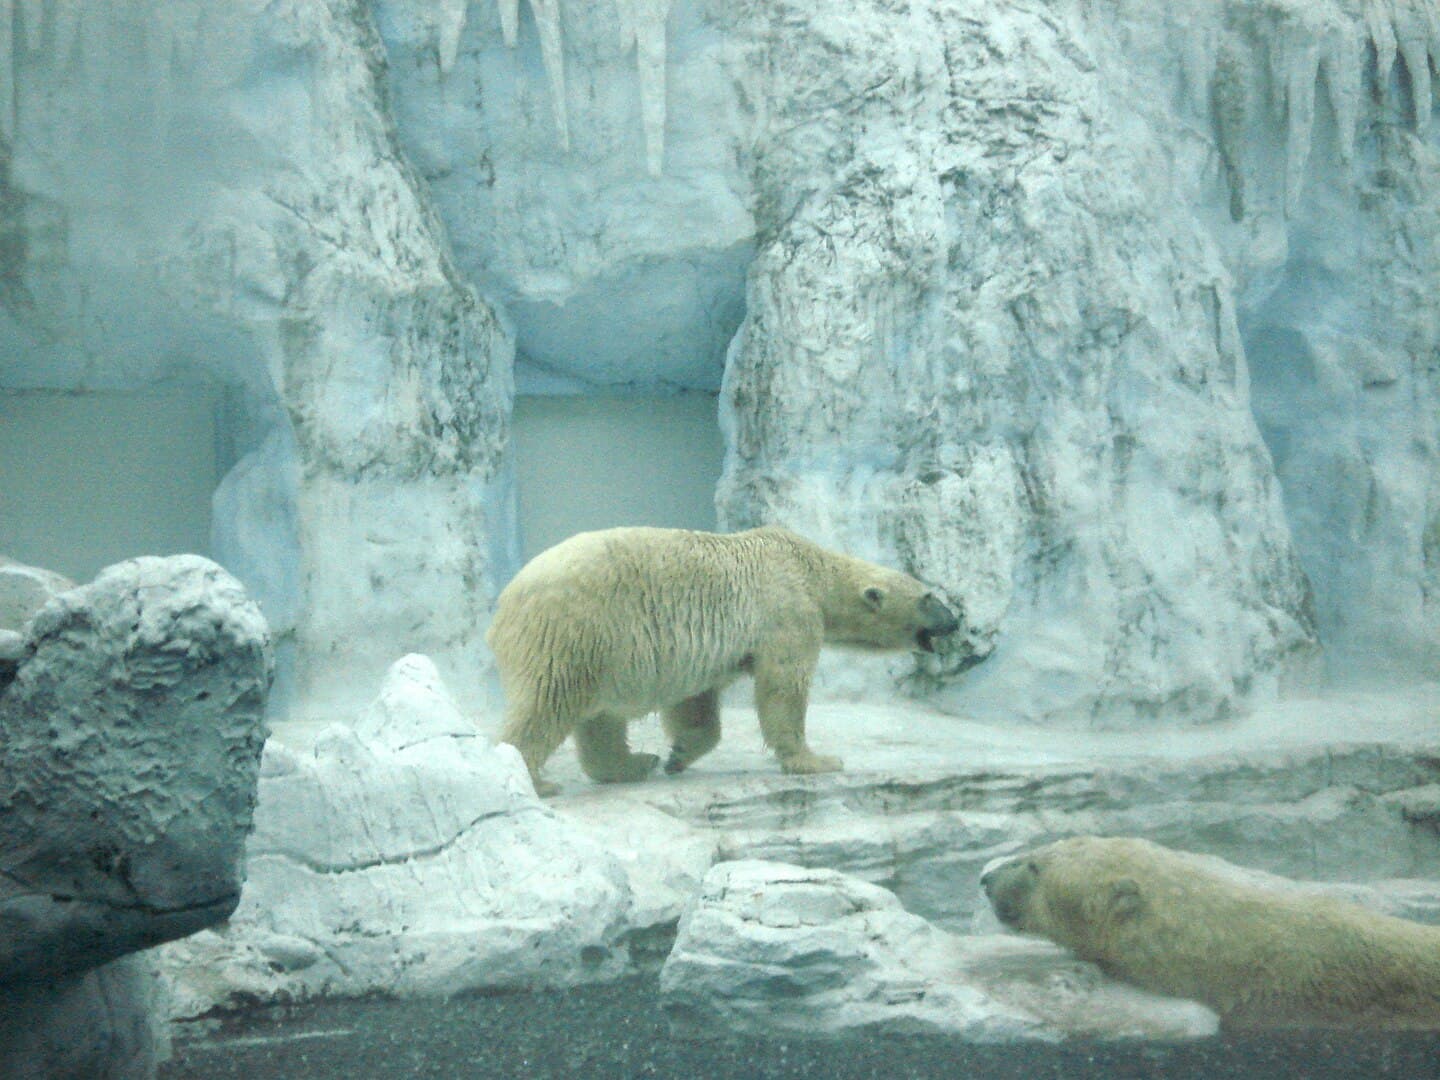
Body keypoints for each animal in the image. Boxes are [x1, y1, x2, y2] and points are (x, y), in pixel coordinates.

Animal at [489, 529, 961, 800]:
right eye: (929, 597)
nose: (956, 620)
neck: (808, 566)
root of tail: (506, 603)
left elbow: (696, 703)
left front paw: (678, 754)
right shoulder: (787, 610)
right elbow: (783, 687)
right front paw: (819, 761)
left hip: (604, 651)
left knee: (600, 717)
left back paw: (634, 764)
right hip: (579, 627)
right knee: (548, 702)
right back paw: (536, 780)